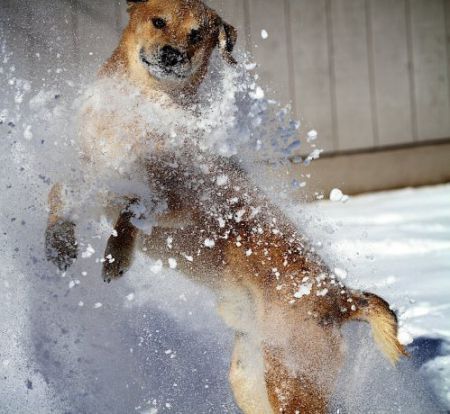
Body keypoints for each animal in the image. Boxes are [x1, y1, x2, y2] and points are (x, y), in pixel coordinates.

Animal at [44, 1, 406, 412]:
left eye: (196, 34)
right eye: (158, 21)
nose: (172, 55)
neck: (145, 107)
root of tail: (341, 299)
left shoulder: (180, 200)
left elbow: (133, 210)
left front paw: (114, 258)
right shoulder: (93, 176)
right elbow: (58, 193)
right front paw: (58, 244)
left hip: (291, 381)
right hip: (249, 376)